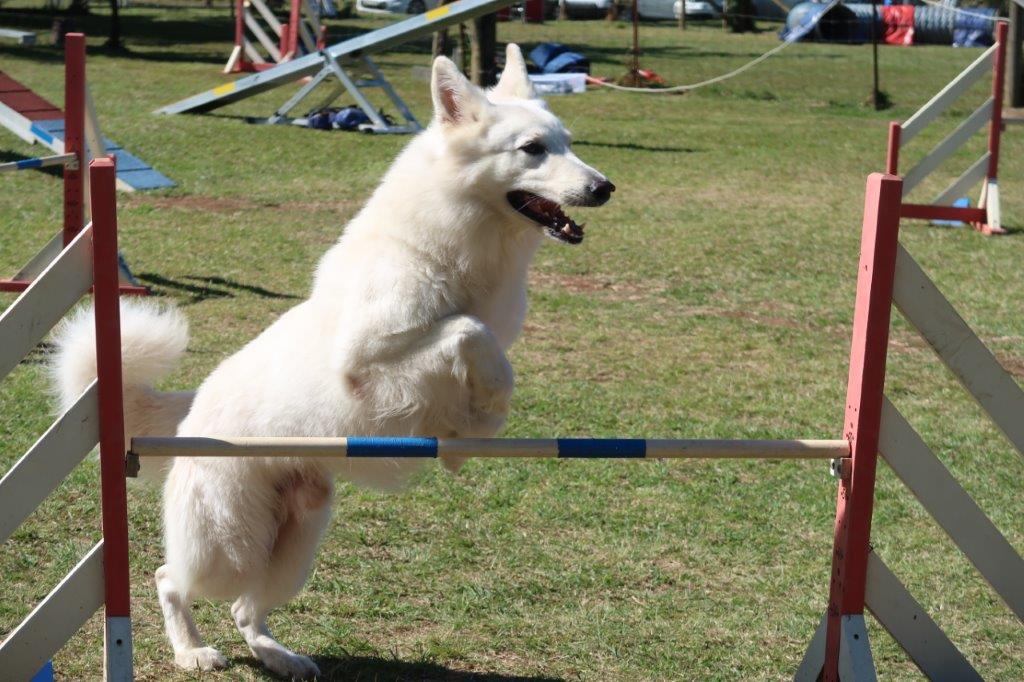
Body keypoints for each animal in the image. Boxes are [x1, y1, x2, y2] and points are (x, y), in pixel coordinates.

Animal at [51, 45, 610, 675]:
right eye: (532, 148)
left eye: (566, 142)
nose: (605, 187)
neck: (454, 241)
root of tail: (191, 411)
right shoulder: (371, 359)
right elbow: (469, 332)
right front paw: (486, 410)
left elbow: (483, 344)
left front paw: (470, 430)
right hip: (228, 545)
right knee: (171, 578)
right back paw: (192, 651)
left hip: (296, 540)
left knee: (247, 611)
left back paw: (281, 658)